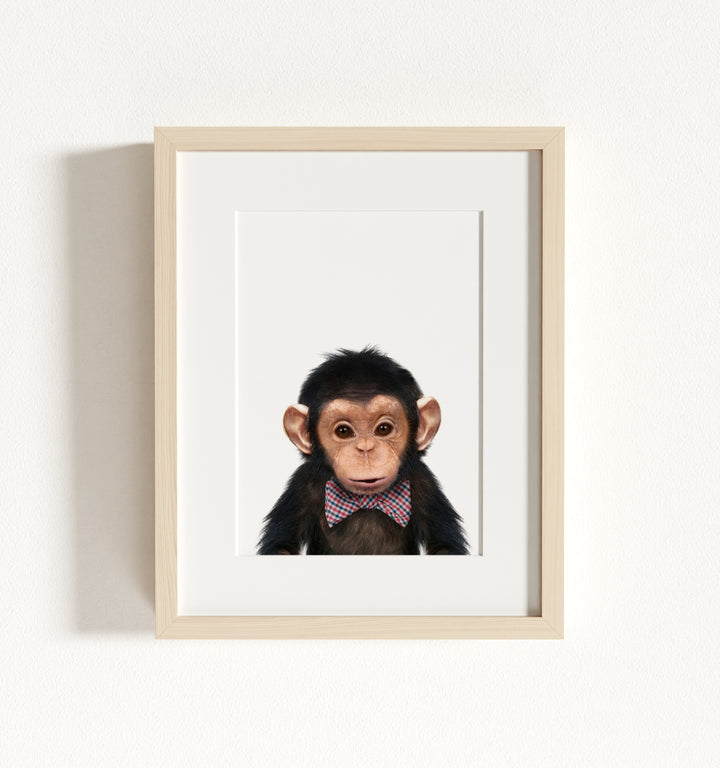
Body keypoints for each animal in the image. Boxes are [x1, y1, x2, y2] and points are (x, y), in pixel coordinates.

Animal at [257, 347, 469, 555]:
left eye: (384, 429)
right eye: (343, 431)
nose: (366, 449)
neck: (367, 500)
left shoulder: (425, 483)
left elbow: (444, 545)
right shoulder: (301, 486)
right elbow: (282, 546)